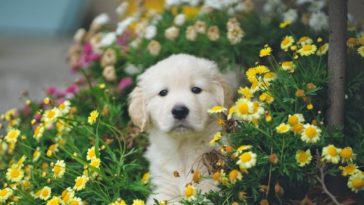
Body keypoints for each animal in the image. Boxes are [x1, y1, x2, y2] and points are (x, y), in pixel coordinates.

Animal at [128, 53, 230, 204]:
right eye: (163, 92)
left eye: (196, 89)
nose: (179, 111)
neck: (183, 148)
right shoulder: (163, 189)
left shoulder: (210, 183)